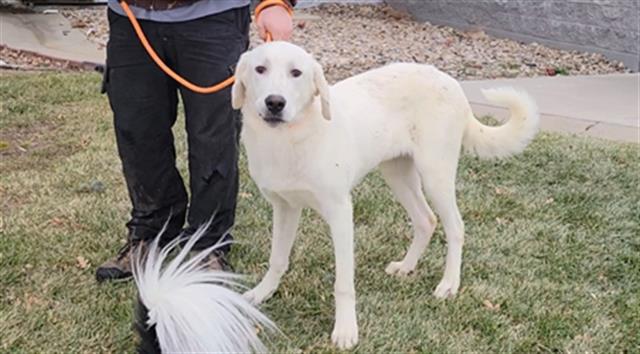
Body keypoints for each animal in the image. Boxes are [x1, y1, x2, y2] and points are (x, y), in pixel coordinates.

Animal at [232, 41, 536, 348]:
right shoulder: (285, 207)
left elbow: (343, 283)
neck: (289, 138)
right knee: (426, 220)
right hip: (397, 173)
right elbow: (277, 259)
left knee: (456, 227)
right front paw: (262, 293)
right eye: (260, 69)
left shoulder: (341, 213)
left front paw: (346, 330)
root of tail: (451, 82)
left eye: (296, 72)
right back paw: (406, 267)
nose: (275, 103)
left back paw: (449, 284)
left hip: (435, 174)